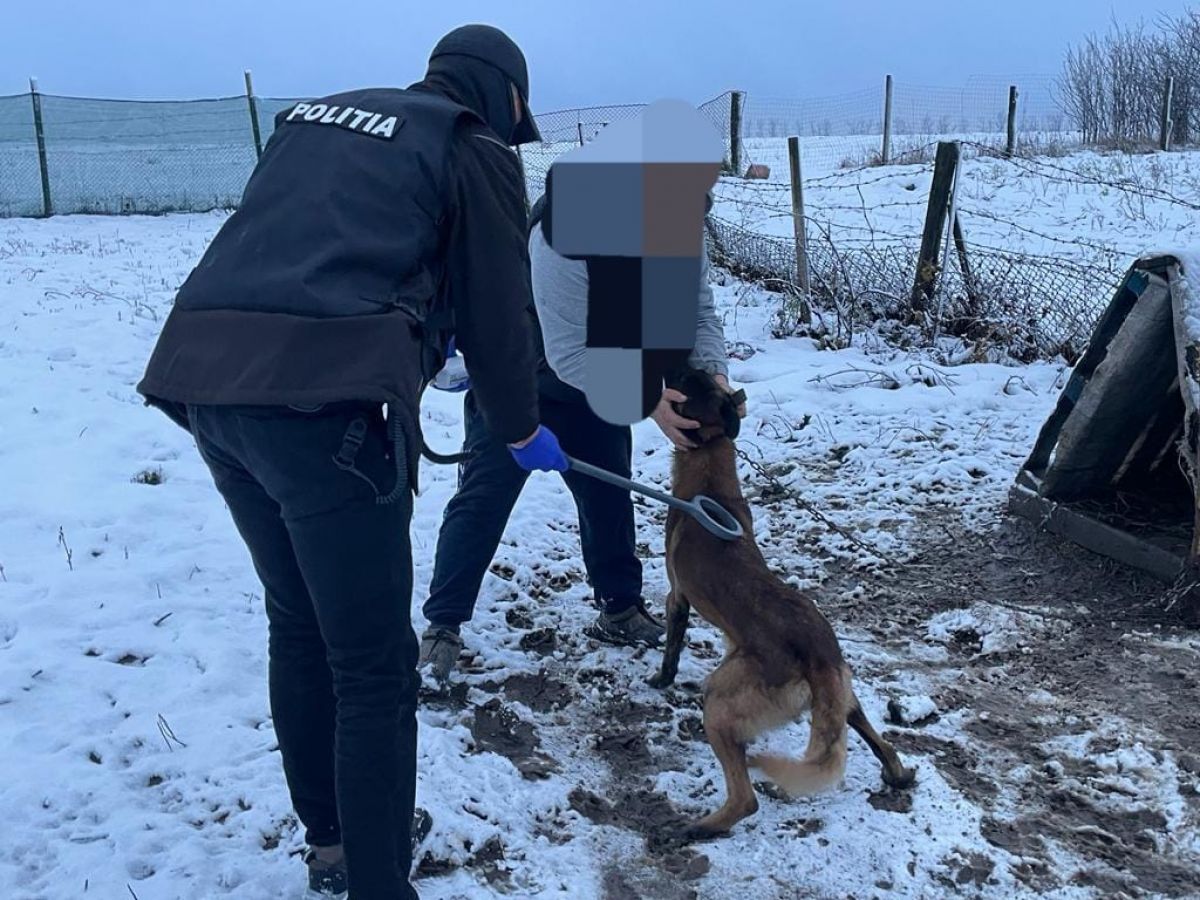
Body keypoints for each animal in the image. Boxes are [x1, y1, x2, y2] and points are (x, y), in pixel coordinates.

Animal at [649, 367, 916, 840]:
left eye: (687, 382)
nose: (672, 366)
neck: (710, 482)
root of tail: (819, 658)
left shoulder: (676, 597)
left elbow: (671, 649)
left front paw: (661, 680)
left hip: (721, 699)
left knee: (744, 799)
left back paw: (696, 827)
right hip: (844, 696)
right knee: (876, 736)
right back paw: (897, 774)